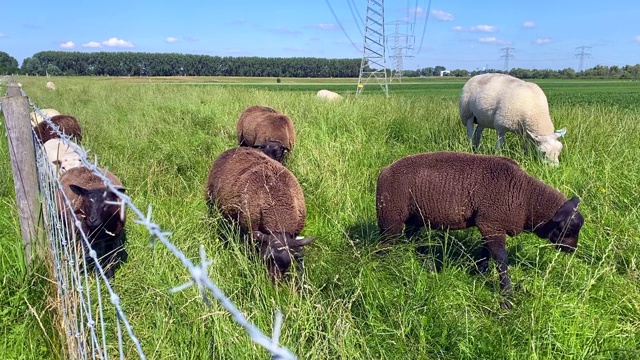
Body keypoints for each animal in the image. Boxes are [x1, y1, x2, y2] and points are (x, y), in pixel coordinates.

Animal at [376, 150, 584, 308]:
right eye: (567, 229)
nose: (572, 250)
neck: (527, 198)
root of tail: (384, 171)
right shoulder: (492, 224)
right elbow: (501, 259)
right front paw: (507, 297)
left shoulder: (489, 225)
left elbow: (486, 252)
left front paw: (481, 273)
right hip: (390, 218)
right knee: (384, 246)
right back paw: (386, 268)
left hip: (414, 218)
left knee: (411, 240)